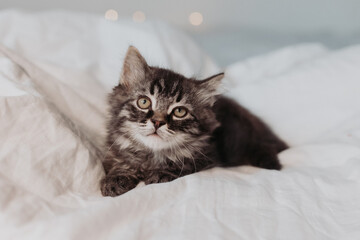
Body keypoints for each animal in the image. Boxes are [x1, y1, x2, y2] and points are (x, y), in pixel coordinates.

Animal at [99, 46, 286, 196]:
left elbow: (183, 164)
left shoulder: (207, 158)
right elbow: (121, 164)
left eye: (179, 111)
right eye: (144, 102)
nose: (158, 122)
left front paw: (162, 174)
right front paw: (116, 178)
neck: (152, 157)